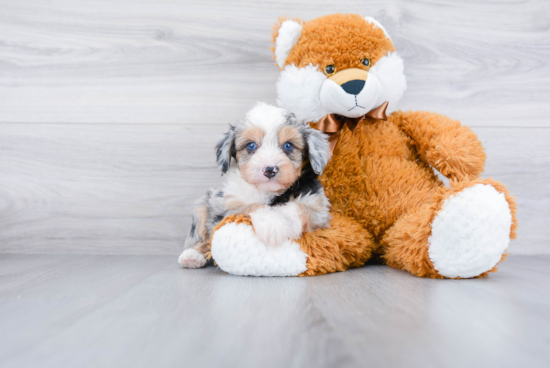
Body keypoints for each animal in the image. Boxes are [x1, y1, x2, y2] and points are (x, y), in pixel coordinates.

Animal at [179, 102, 332, 268]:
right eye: (251, 145)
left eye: (288, 146)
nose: (270, 170)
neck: (269, 192)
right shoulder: (225, 210)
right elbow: (250, 206)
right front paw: (272, 224)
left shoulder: (321, 213)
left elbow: (301, 208)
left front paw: (287, 220)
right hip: (203, 206)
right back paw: (192, 255)